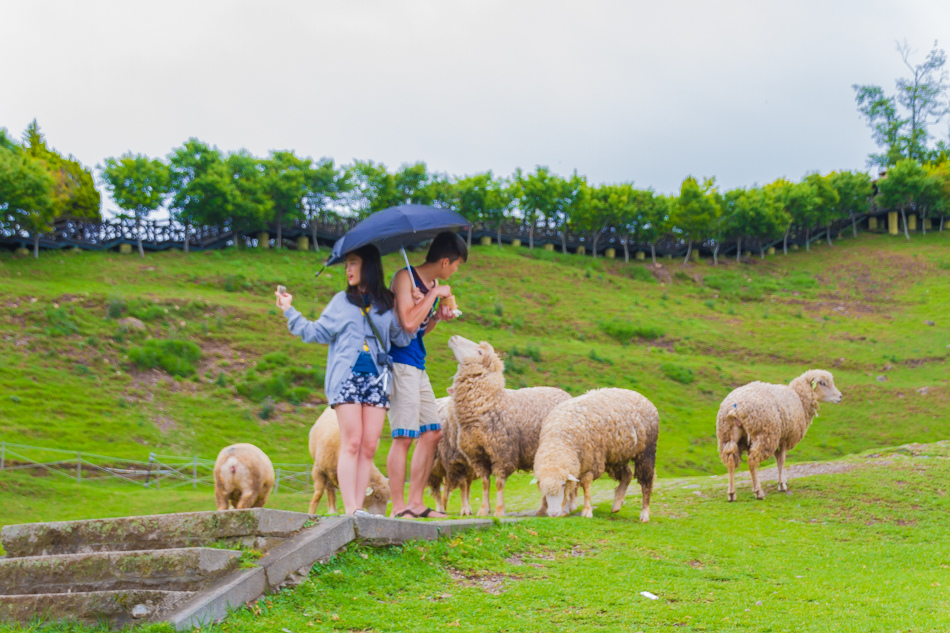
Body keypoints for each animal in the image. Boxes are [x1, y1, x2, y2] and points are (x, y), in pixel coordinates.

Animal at [448, 334, 572, 516]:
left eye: (479, 352)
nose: (454, 336)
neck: (491, 402)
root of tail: (565, 394)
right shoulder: (478, 455)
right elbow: (485, 483)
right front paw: (484, 509)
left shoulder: (502, 452)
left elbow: (499, 483)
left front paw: (499, 510)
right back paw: (543, 509)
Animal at [536, 388, 660, 520]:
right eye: (542, 489)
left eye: (563, 485)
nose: (553, 513)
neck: (560, 438)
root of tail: (641, 396)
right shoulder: (578, 464)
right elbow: (574, 486)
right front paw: (565, 509)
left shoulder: (591, 462)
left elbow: (585, 485)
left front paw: (586, 511)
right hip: (617, 455)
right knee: (627, 474)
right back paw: (617, 504)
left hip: (646, 452)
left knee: (647, 481)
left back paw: (644, 514)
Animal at [716, 368, 844, 502]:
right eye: (823, 383)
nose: (840, 396)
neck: (799, 399)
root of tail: (735, 407)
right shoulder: (785, 438)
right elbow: (782, 459)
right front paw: (782, 484)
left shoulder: (780, 437)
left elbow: (778, 459)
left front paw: (782, 481)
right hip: (765, 435)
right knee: (752, 460)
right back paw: (758, 492)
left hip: (728, 435)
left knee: (730, 460)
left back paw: (731, 494)